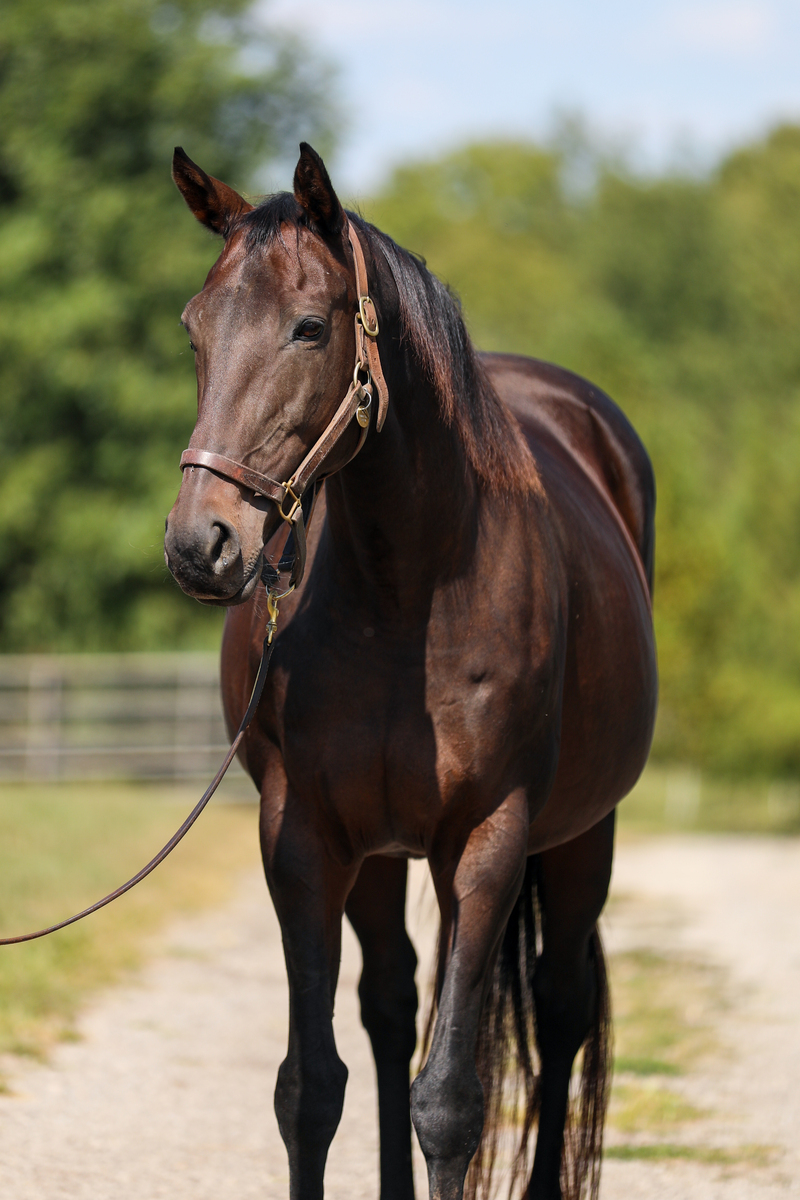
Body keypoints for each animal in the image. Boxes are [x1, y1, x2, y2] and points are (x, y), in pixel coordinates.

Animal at [164, 142, 657, 1200]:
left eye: (310, 327)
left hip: (581, 835)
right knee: (390, 1007)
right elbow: (311, 1085)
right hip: (381, 854)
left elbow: (453, 1100)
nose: (201, 546)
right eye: (195, 330)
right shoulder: (304, 836)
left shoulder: (488, 842)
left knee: (558, 1009)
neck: (409, 589)